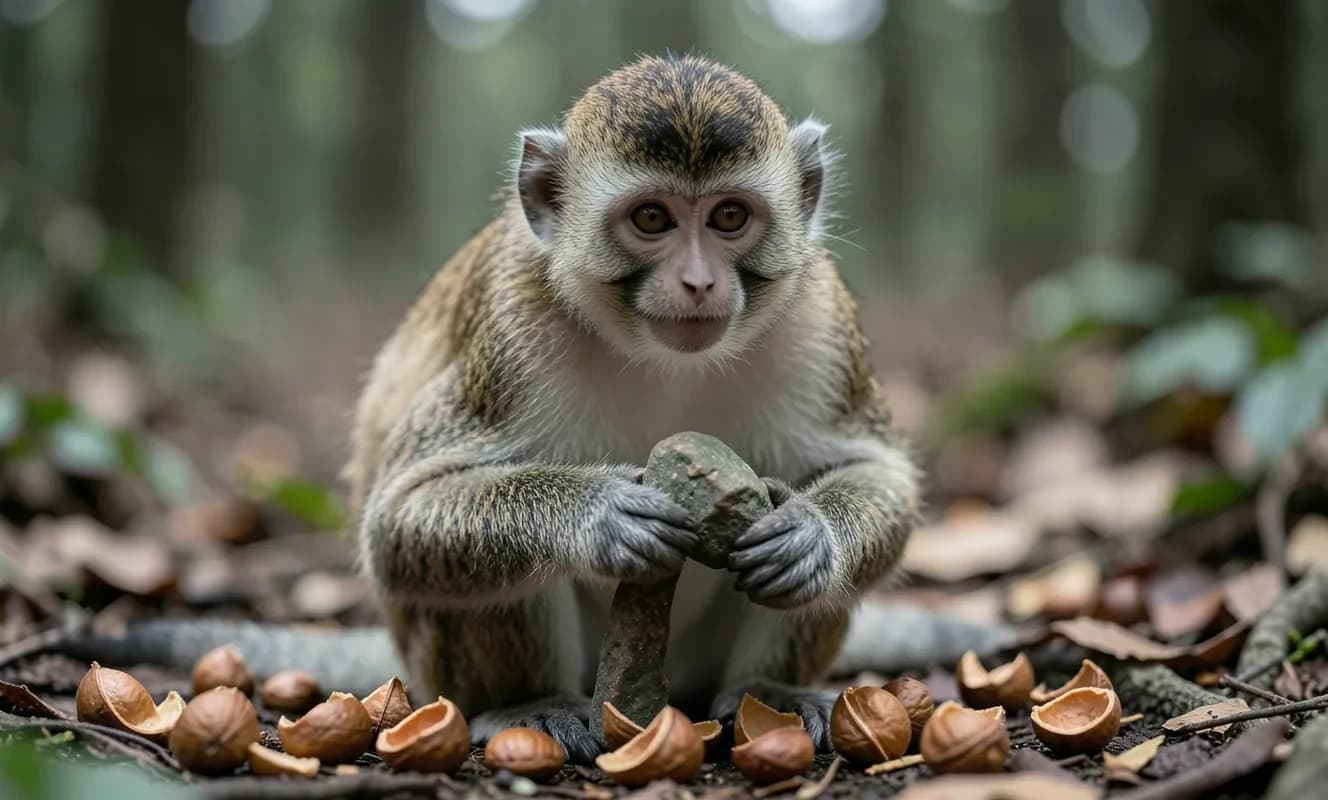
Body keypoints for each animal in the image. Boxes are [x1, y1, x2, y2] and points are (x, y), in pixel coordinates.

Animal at [343, 54, 921, 764]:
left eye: (729, 216)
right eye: (651, 218)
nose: (698, 282)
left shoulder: (821, 321)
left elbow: (877, 470)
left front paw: (810, 535)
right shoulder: (508, 334)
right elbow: (397, 521)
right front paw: (599, 516)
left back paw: (768, 692)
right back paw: (529, 704)